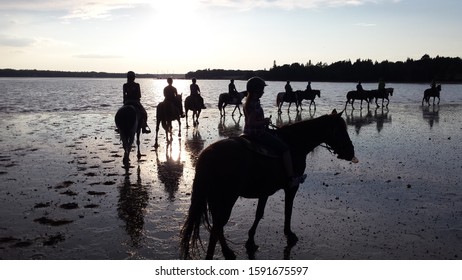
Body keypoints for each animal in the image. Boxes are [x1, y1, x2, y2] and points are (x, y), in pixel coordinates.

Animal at [180, 110, 358, 260]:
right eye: (340, 131)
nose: (351, 152)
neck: (294, 143)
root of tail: (208, 154)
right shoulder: (291, 187)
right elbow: (288, 210)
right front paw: (289, 234)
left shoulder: (264, 190)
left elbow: (259, 214)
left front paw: (250, 240)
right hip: (227, 198)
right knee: (217, 227)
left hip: (215, 198)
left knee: (218, 227)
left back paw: (227, 251)